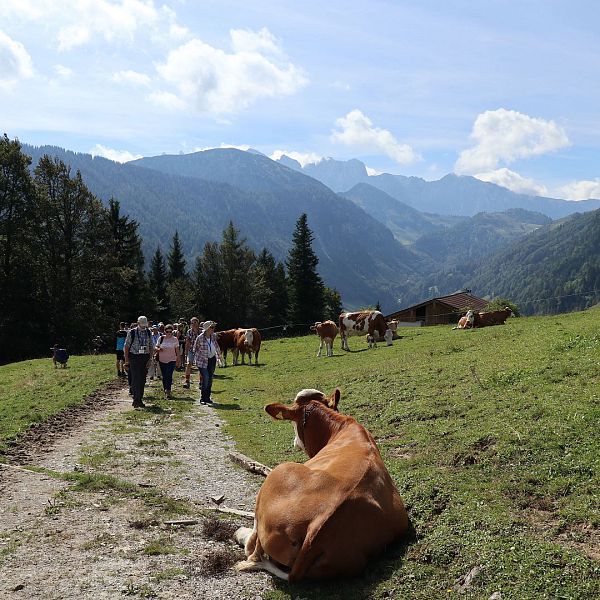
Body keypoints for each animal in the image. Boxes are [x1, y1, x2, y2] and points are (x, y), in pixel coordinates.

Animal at [233, 390, 408, 580]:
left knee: (253, 551)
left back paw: (241, 534)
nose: (295, 442)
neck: (342, 427)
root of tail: (316, 526)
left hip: (277, 475)